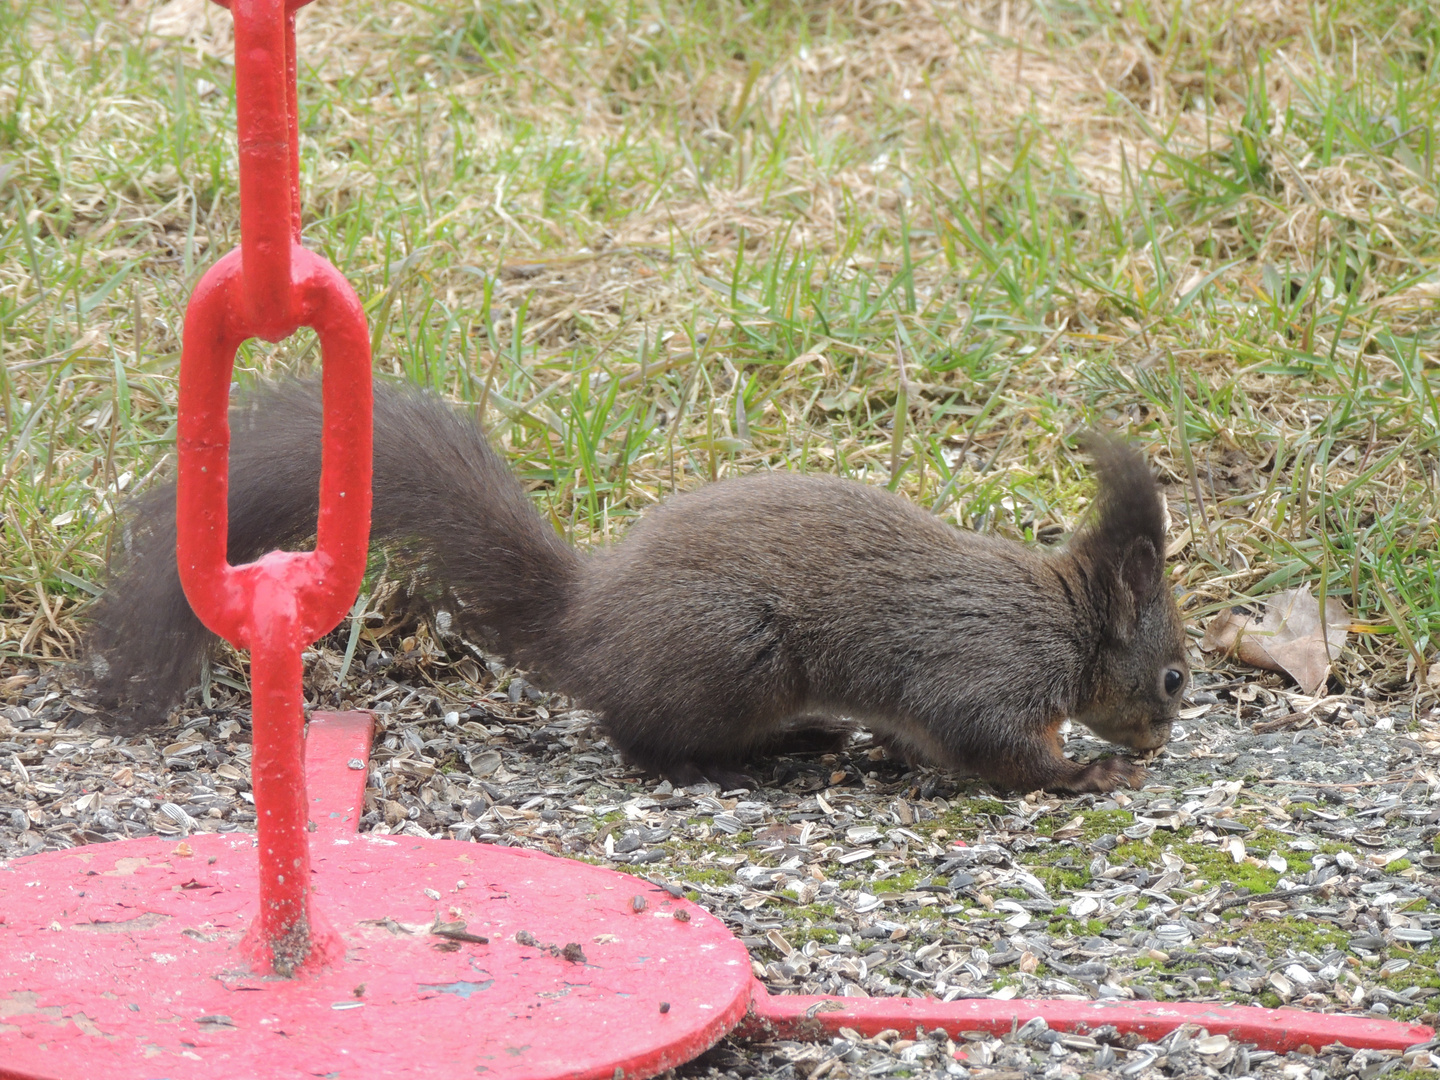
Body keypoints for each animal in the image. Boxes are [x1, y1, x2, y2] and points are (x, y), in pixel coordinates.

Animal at [92, 380, 1192, 794]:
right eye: (1176, 677)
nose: (1162, 738)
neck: (1063, 620)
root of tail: (588, 620)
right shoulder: (987, 671)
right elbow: (993, 745)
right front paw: (1081, 774)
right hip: (737, 651)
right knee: (645, 741)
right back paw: (753, 755)